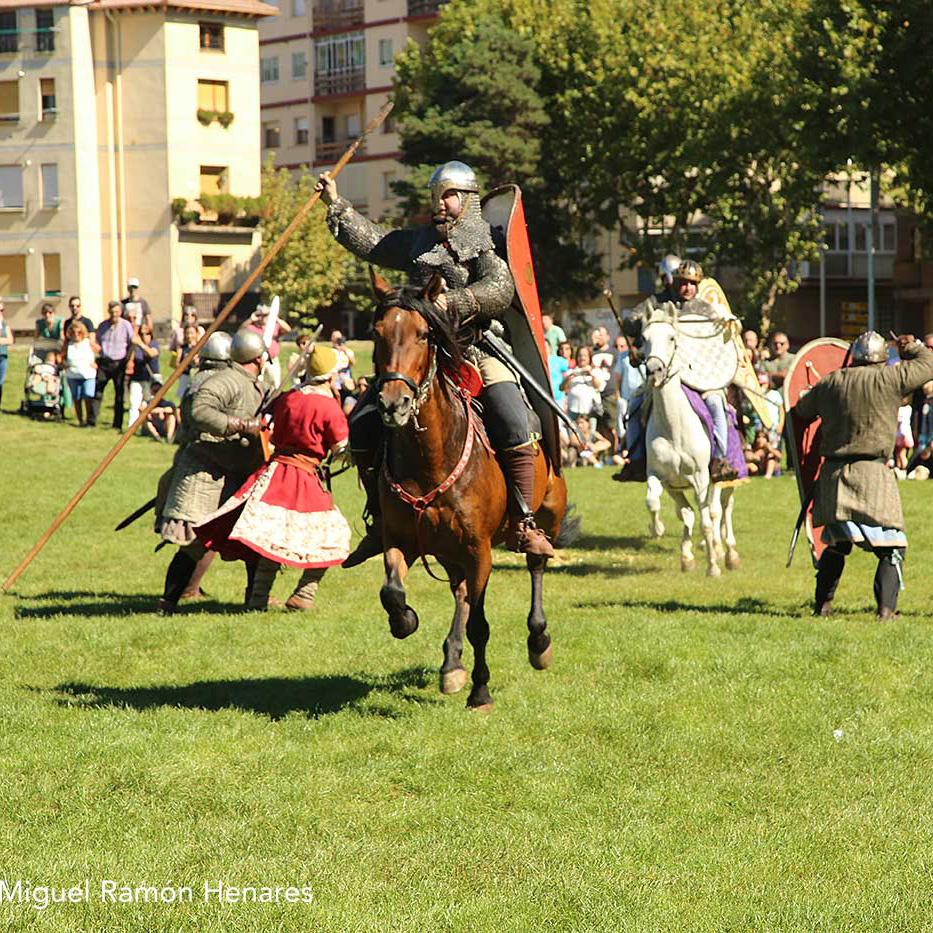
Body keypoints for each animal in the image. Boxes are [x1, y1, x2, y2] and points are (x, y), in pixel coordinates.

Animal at [370, 274, 572, 708]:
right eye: (376, 333)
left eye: (424, 334)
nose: (394, 404)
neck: (430, 459)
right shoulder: (400, 540)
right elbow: (392, 592)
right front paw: (406, 621)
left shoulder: (479, 551)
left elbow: (481, 623)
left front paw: (481, 691)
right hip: (448, 551)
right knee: (460, 592)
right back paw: (452, 664)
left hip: (547, 516)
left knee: (536, 565)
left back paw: (538, 640)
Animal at [640, 316, 736, 572]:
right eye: (644, 338)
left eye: (672, 338)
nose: (654, 371)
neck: (674, 427)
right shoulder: (661, 477)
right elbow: (654, 503)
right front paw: (658, 530)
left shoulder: (701, 478)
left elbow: (706, 520)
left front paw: (713, 566)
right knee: (692, 512)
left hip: (725, 480)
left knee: (722, 508)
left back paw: (729, 552)